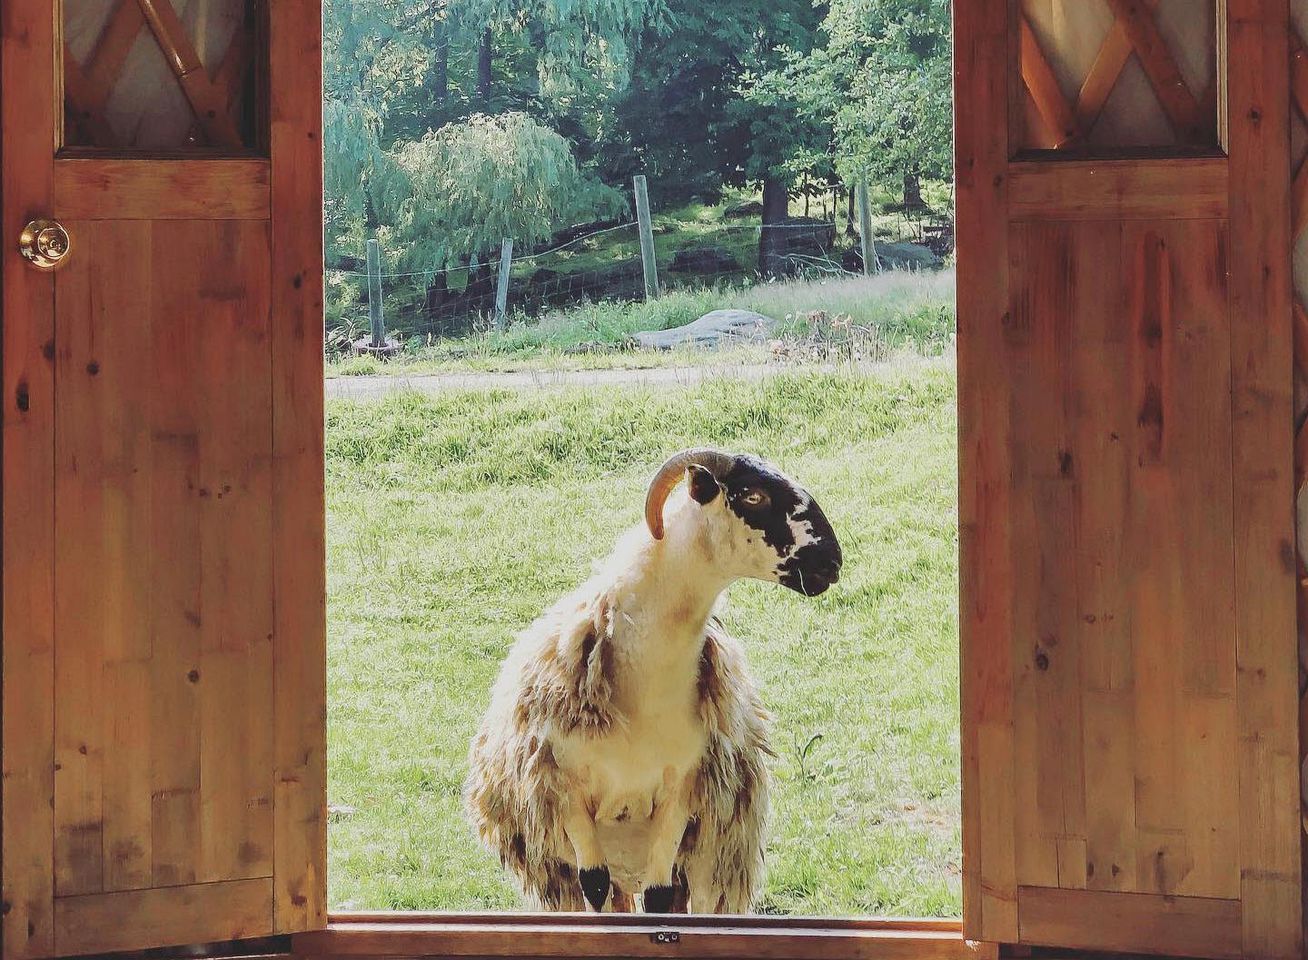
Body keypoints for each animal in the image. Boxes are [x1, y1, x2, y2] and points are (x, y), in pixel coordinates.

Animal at [465, 449, 842, 915]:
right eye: (754, 496)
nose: (831, 561)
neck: (644, 687)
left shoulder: (681, 792)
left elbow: (659, 898)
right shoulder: (567, 792)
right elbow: (594, 885)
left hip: (707, 855)